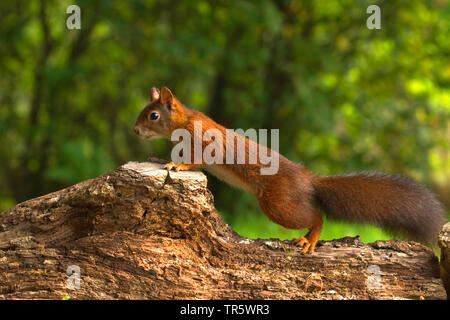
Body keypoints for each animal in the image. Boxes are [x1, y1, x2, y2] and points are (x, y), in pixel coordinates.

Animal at [134, 86, 446, 254]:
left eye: (154, 115)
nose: (135, 130)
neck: (183, 123)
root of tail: (308, 179)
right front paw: (161, 159)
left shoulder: (206, 141)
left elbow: (197, 159)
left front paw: (177, 164)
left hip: (278, 203)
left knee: (315, 216)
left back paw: (310, 239)